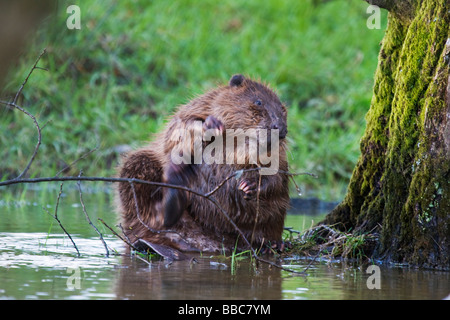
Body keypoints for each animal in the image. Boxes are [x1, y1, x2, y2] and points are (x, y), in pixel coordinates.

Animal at [116, 74, 290, 255]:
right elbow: (179, 128)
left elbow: (277, 176)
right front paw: (211, 124)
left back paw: (275, 245)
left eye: (283, 108)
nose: (281, 129)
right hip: (138, 164)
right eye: (258, 102)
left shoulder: (279, 157)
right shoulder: (199, 106)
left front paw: (248, 185)